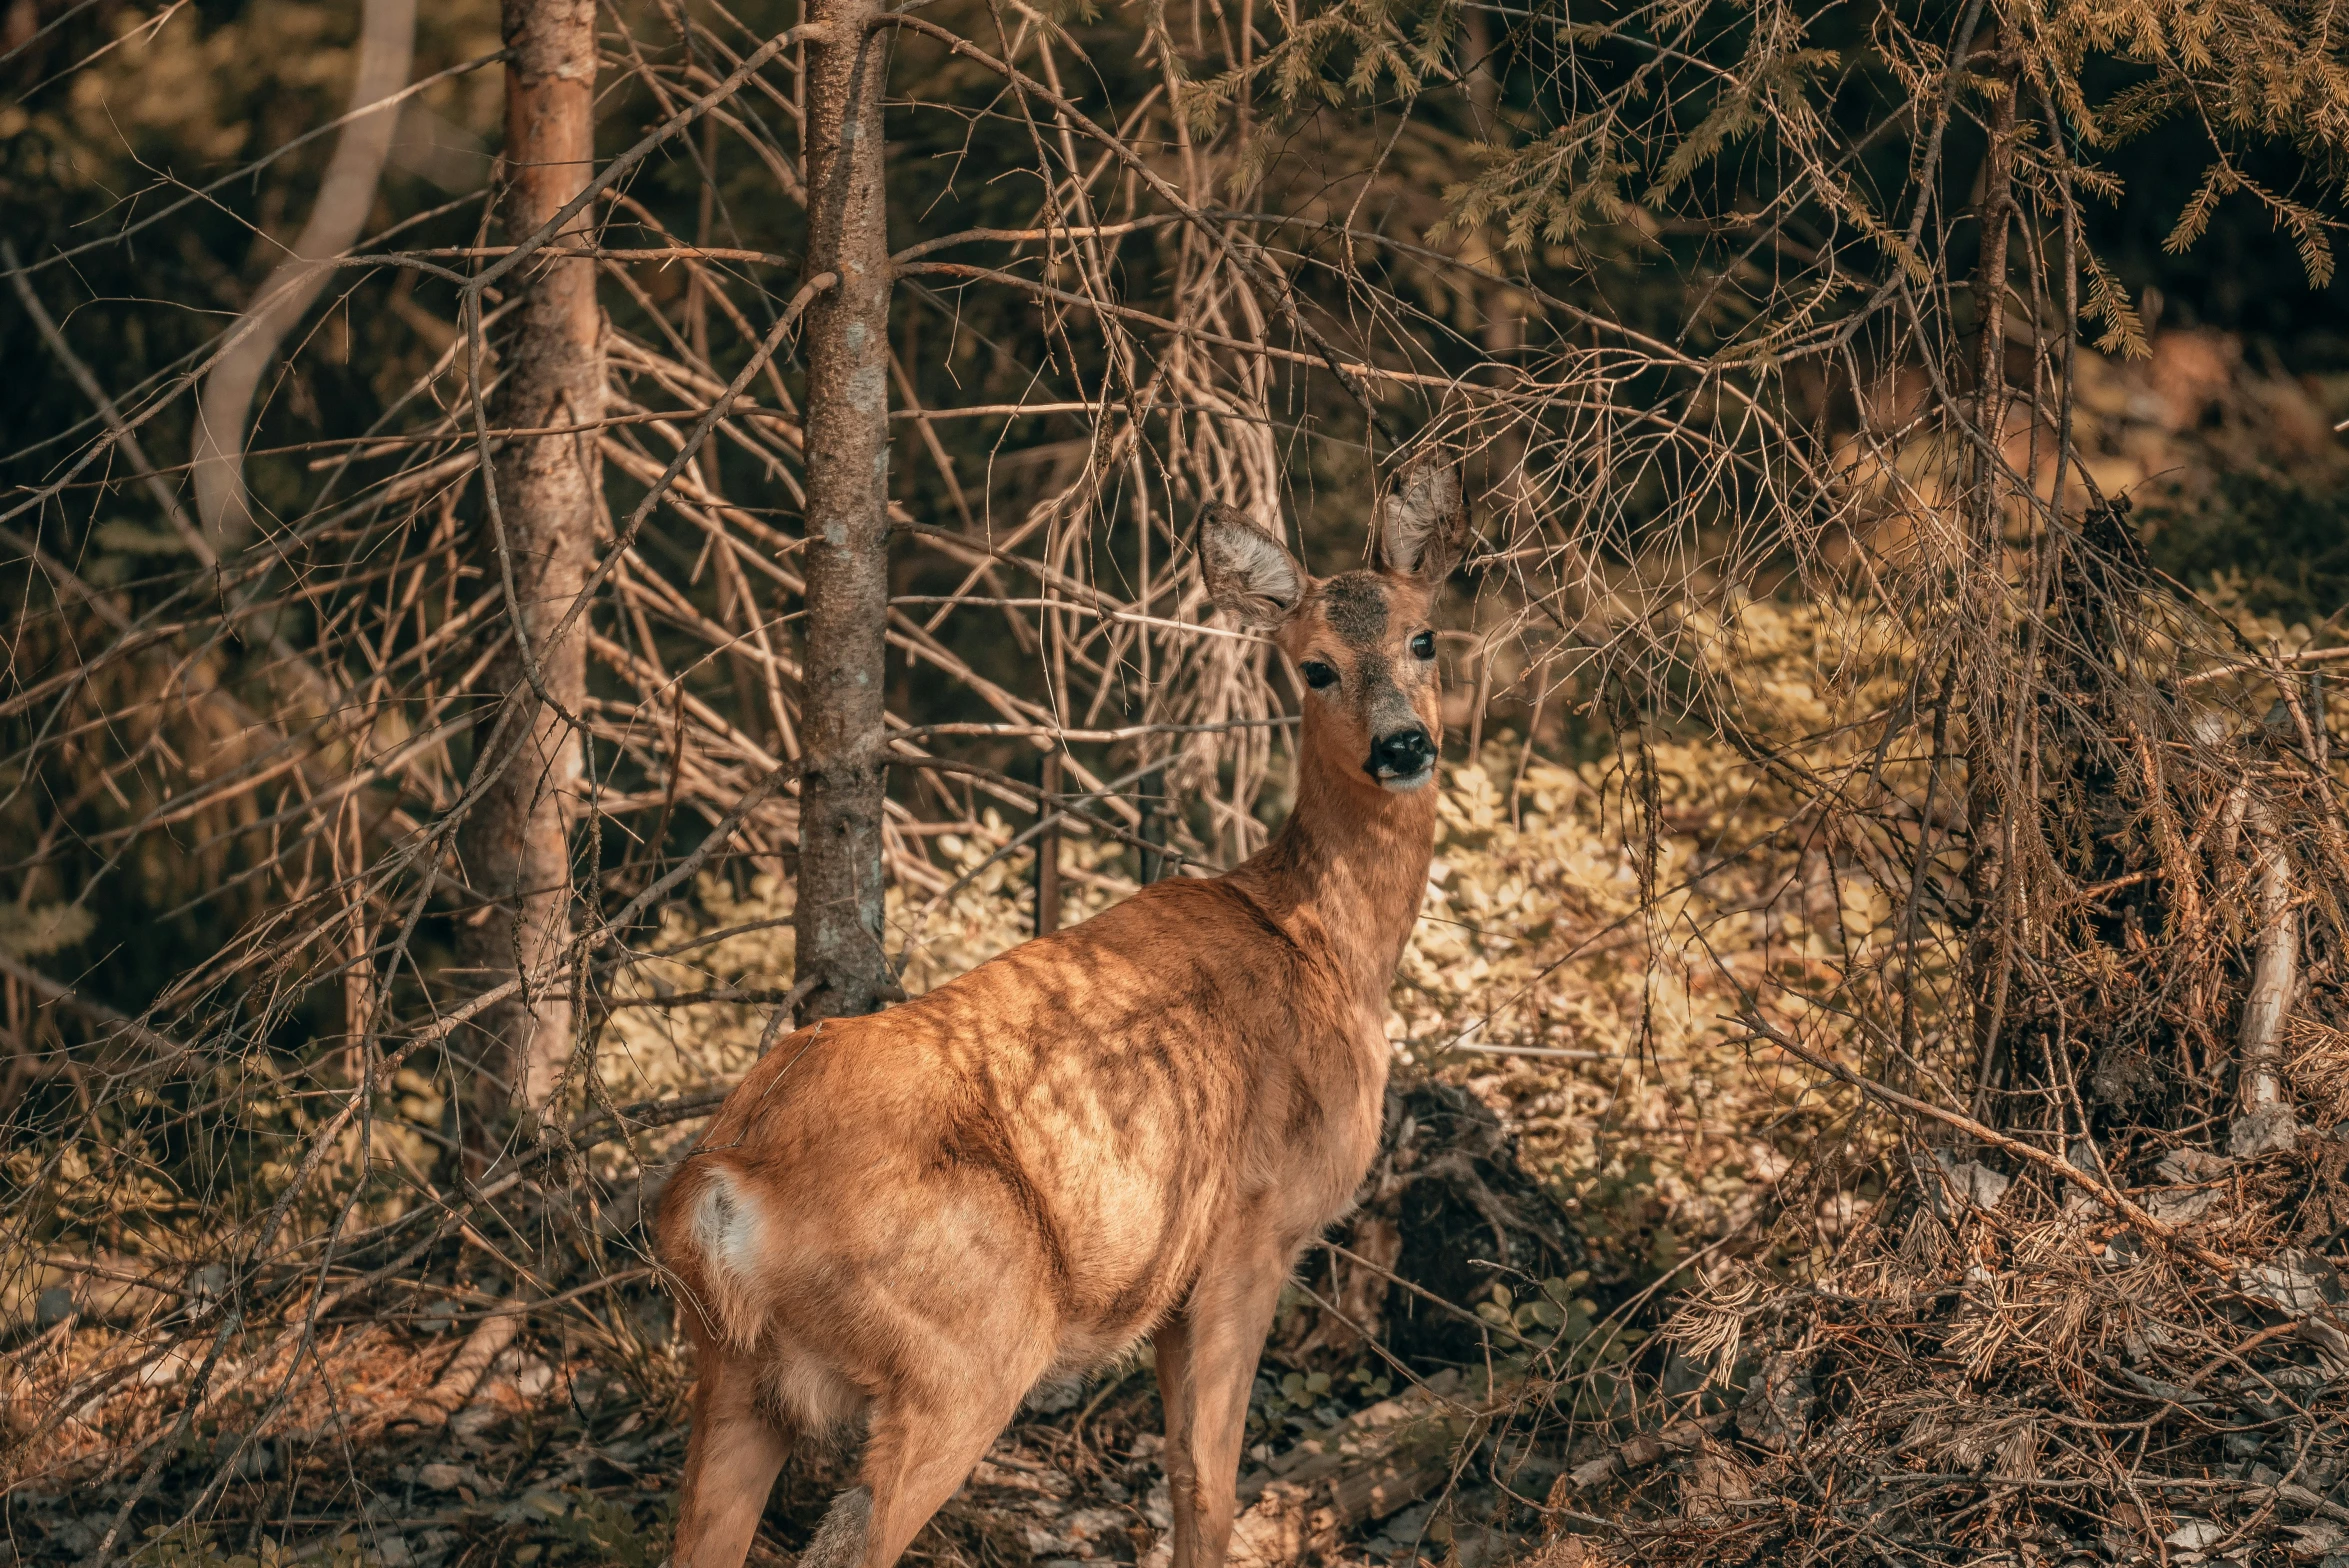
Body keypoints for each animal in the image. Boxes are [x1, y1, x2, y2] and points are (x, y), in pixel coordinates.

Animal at [657, 462, 1465, 1568]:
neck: (1326, 946)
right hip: (963, 1350)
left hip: (733, 1372)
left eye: (1423, 636)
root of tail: (726, 1187)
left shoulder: (1172, 1288)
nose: (1401, 745)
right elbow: (1207, 1484)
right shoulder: (1249, 1231)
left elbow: (1183, 1478)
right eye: (1314, 668)